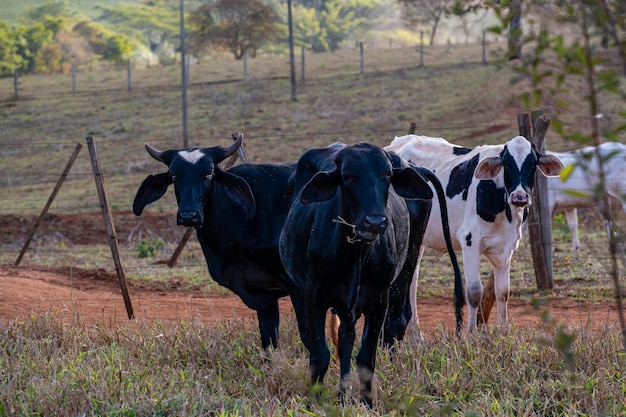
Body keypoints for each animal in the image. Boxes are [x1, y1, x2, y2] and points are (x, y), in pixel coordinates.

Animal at [278, 141, 438, 404]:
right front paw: (315, 399)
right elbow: (320, 353)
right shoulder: (313, 296)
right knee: (340, 339)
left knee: (388, 323)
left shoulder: (379, 299)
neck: (355, 254)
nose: (374, 222)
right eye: (347, 176)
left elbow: (365, 358)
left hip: (406, 267)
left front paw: (367, 401)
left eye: (387, 175)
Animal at [382, 135, 564, 330]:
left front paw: (504, 330)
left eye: (532, 164)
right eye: (507, 164)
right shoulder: (470, 241)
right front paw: (471, 332)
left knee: (412, 280)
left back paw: (415, 334)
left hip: (418, 240)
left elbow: (502, 292)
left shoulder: (507, 247)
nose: (519, 197)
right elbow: (474, 292)